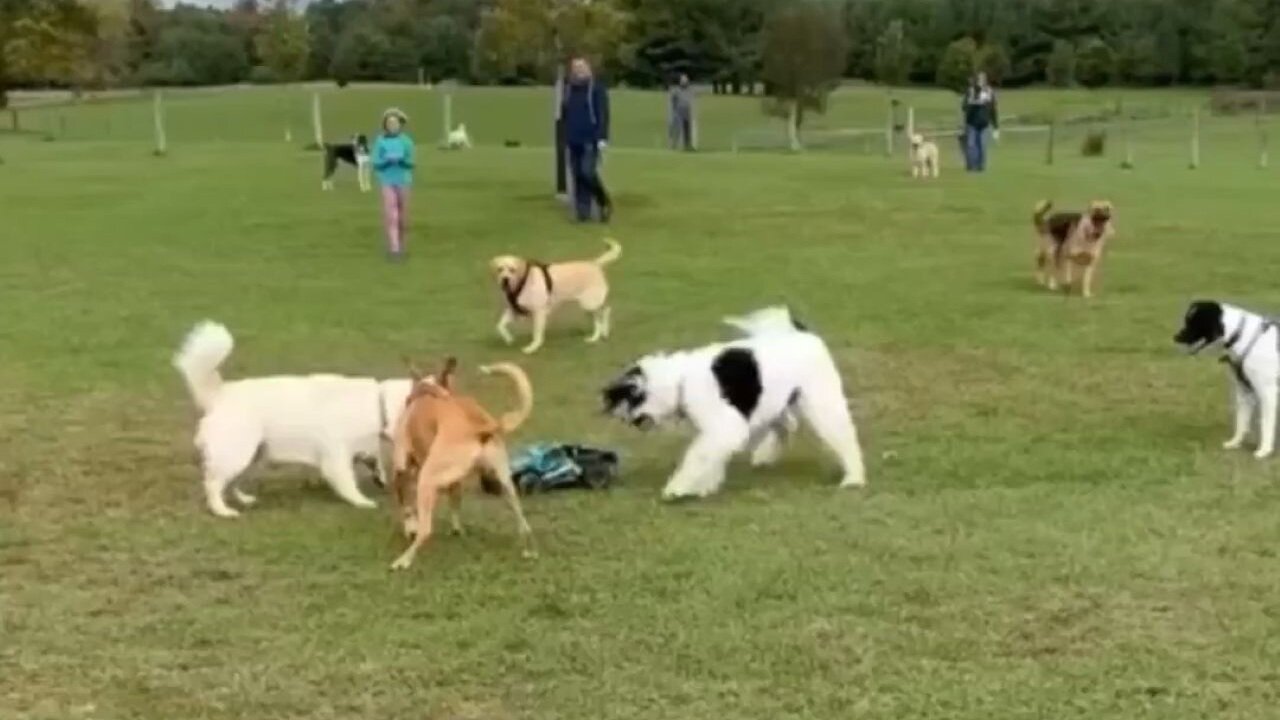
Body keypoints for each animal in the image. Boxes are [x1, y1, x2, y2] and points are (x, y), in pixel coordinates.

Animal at [171, 319, 409, 515]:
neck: (378, 403)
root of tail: (220, 393)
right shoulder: (336, 457)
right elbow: (348, 483)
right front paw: (362, 501)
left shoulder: (362, 447)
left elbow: (374, 461)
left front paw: (380, 478)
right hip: (237, 453)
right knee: (212, 483)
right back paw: (222, 510)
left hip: (252, 455)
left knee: (231, 483)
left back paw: (244, 499)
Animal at [384, 356, 535, 568]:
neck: (430, 389)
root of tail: (480, 427)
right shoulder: (454, 481)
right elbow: (455, 501)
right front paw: (456, 529)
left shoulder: (401, 471)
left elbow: (407, 508)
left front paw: (410, 529)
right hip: (502, 482)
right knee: (522, 520)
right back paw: (528, 551)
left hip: (426, 480)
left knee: (425, 530)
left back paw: (403, 560)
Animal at [488, 238, 619, 353]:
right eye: (500, 269)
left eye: (512, 270)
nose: (505, 280)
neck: (523, 282)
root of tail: (595, 264)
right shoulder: (514, 311)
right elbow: (500, 325)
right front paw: (509, 339)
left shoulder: (539, 313)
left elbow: (536, 334)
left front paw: (533, 347)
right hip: (588, 305)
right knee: (601, 316)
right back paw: (599, 335)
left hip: (589, 303)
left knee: (604, 313)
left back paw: (600, 334)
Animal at [601, 303, 870, 499]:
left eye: (626, 402)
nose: (626, 421)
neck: (680, 380)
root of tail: (804, 334)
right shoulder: (718, 431)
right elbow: (710, 455)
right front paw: (704, 487)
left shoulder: (724, 426)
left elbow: (698, 456)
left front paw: (678, 488)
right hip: (774, 401)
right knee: (786, 426)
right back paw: (765, 456)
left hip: (820, 400)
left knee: (842, 434)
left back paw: (854, 478)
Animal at [1172, 298, 1274, 456]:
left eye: (1194, 322)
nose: (1175, 337)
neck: (1242, 336)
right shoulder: (1245, 390)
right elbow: (1241, 421)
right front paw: (1235, 443)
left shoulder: (1268, 392)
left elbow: (1265, 423)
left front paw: (1264, 450)